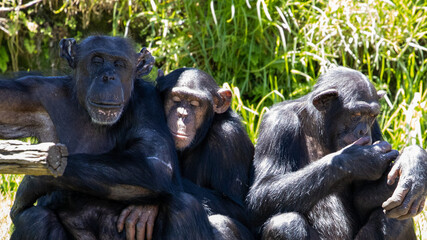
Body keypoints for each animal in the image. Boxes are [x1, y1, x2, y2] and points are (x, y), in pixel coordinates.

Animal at [2, 35, 217, 240]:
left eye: (119, 64)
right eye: (97, 60)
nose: (108, 77)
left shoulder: (148, 100)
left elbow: (156, 162)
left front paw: (34, 181)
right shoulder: (32, 95)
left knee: (185, 206)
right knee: (36, 219)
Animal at [117, 68, 256, 240]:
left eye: (194, 104)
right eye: (176, 99)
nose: (182, 114)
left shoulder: (230, 138)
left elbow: (239, 208)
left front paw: (145, 209)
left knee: (221, 222)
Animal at [246, 66, 427, 240]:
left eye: (371, 115)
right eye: (356, 114)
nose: (363, 131)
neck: (318, 130)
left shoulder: (375, 127)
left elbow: (362, 196)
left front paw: (414, 164)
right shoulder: (277, 123)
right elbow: (262, 191)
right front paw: (360, 160)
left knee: (397, 218)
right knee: (285, 224)